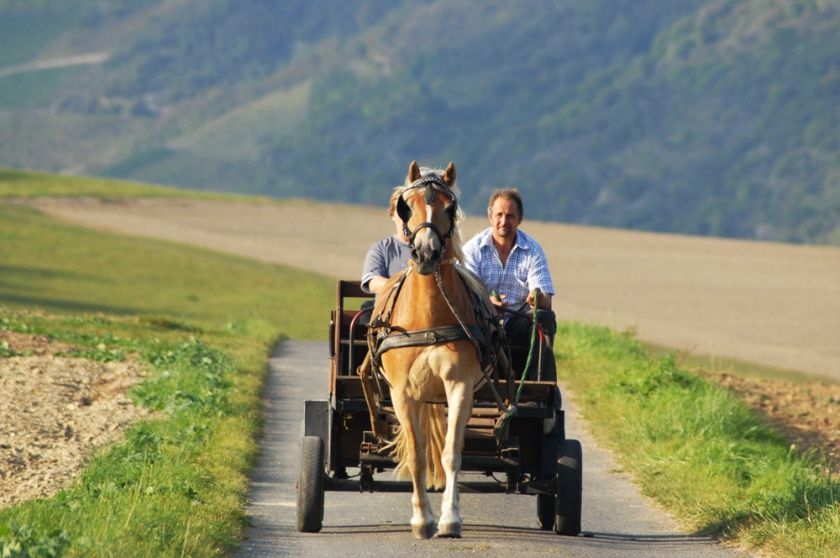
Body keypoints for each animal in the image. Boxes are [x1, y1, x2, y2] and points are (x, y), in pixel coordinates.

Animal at [370, 160, 486, 540]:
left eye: (449, 207)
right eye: (407, 205)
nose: (425, 253)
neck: (429, 318)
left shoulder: (460, 386)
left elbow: (451, 453)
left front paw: (450, 519)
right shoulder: (402, 393)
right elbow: (419, 455)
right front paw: (422, 520)